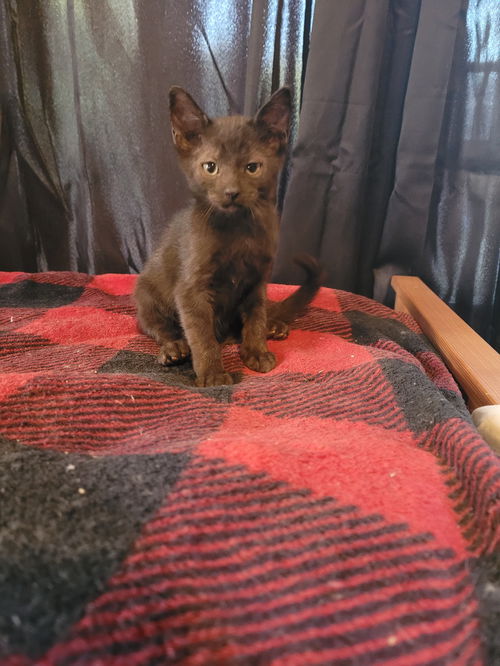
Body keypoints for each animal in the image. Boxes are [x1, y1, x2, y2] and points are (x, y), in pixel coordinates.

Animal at [134, 89, 320, 390]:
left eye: (252, 167)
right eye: (210, 167)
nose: (231, 192)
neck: (238, 229)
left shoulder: (257, 282)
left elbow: (255, 319)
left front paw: (257, 351)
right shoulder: (191, 290)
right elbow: (202, 336)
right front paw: (212, 374)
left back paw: (273, 326)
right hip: (146, 296)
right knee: (161, 327)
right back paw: (174, 349)